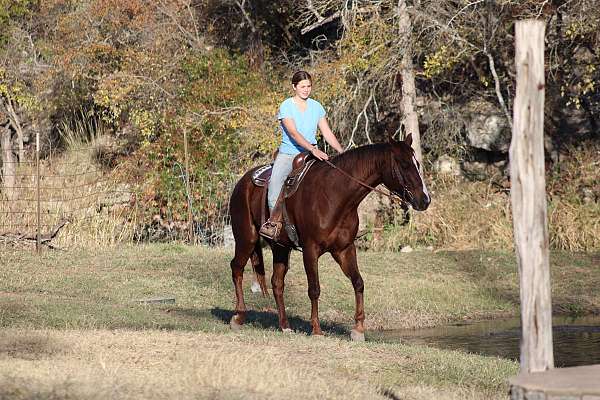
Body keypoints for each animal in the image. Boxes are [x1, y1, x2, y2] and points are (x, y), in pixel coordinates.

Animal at [227, 135, 428, 340]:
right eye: (404, 165)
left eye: (417, 163)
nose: (424, 200)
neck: (335, 196)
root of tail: (243, 181)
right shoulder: (310, 249)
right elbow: (314, 289)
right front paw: (316, 330)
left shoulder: (344, 249)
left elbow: (358, 282)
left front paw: (358, 329)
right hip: (246, 238)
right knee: (237, 268)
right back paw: (238, 316)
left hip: (280, 248)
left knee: (277, 283)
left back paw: (284, 326)